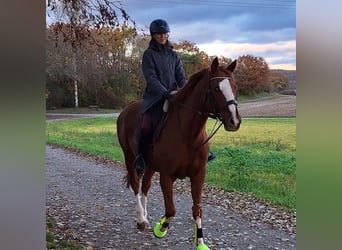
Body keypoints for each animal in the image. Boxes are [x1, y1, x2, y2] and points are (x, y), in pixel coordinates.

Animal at [116, 57, 242, 250]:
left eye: (234, 87)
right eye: (216, 89)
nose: (234, 121)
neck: (188, 134)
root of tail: (125, 110)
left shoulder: (198, 175)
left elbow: (197, 209)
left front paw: (200, 242)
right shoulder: (167, 176)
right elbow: (171, 210)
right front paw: (160, 228)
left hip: (150, 165)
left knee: (145, 186)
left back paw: (145, 217)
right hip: (129, 158)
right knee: (136, 185)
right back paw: (141, 220)